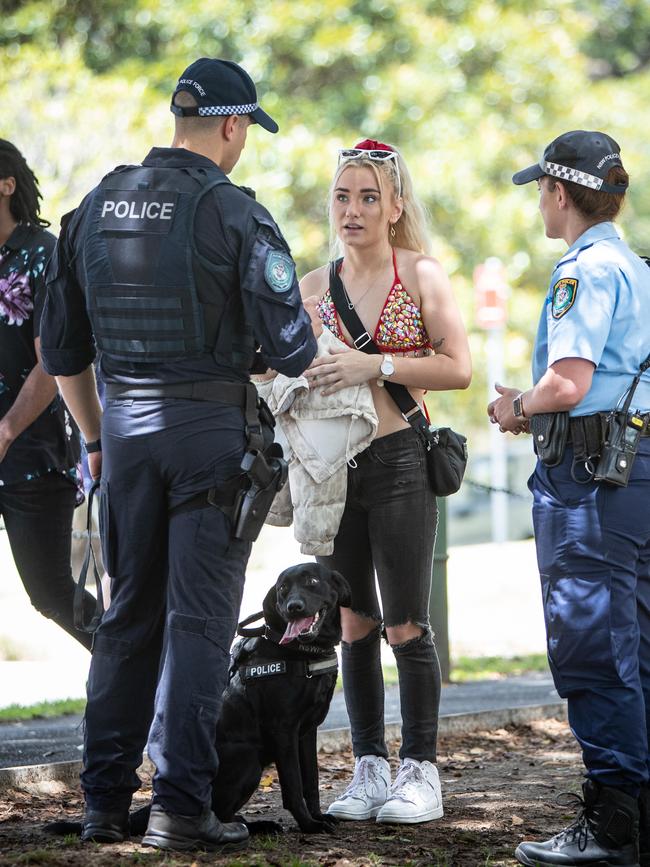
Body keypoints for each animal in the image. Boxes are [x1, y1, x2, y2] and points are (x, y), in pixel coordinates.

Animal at [46, 568, 350, 836]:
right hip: (248, 759)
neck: (303, 652)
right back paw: (250, 827)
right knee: (219, 810)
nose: (294, 607)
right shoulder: (283, 730)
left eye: (312, 581)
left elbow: (311, 781)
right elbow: (293, 786)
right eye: (283, 588)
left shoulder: (306, 732)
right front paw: (309, 825)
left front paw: (318, 816)